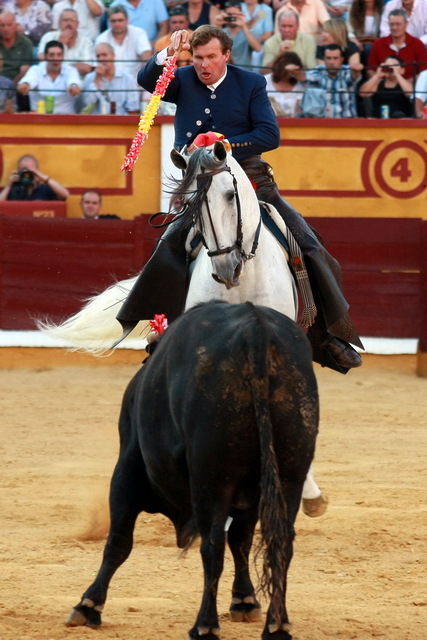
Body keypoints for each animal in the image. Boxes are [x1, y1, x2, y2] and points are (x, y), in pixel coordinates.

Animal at [67, 302, 320, 640]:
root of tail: (255, 327)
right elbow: (241, 539)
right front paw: (244, 601)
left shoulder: (127, 469)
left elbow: (119, 541)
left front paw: (88, 605)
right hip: (290, 474)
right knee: (280, 542)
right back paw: (277, 625)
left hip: (211, 478)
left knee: (212, 544)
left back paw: (205, 625)